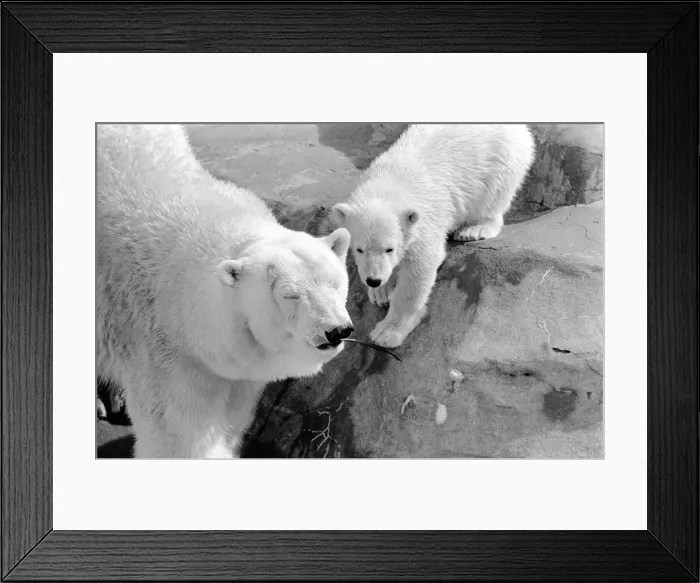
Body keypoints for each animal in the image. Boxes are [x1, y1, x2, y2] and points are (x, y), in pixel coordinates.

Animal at [97, 124, 354, 458]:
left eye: (336, 282)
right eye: (290, 296)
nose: (337, 330)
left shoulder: (236, 372)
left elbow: (232, 415)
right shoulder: (163, 352)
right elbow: (180, 435)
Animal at [331, 124, 535, 348]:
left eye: (390, 248)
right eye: (359, 249)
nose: (373, 280)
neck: (390, 182)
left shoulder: (426, 221)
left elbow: (420, 269)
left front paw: (388, 332)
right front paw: (380, 293)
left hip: (501, 159)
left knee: (493, 195)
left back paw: (474, 229)